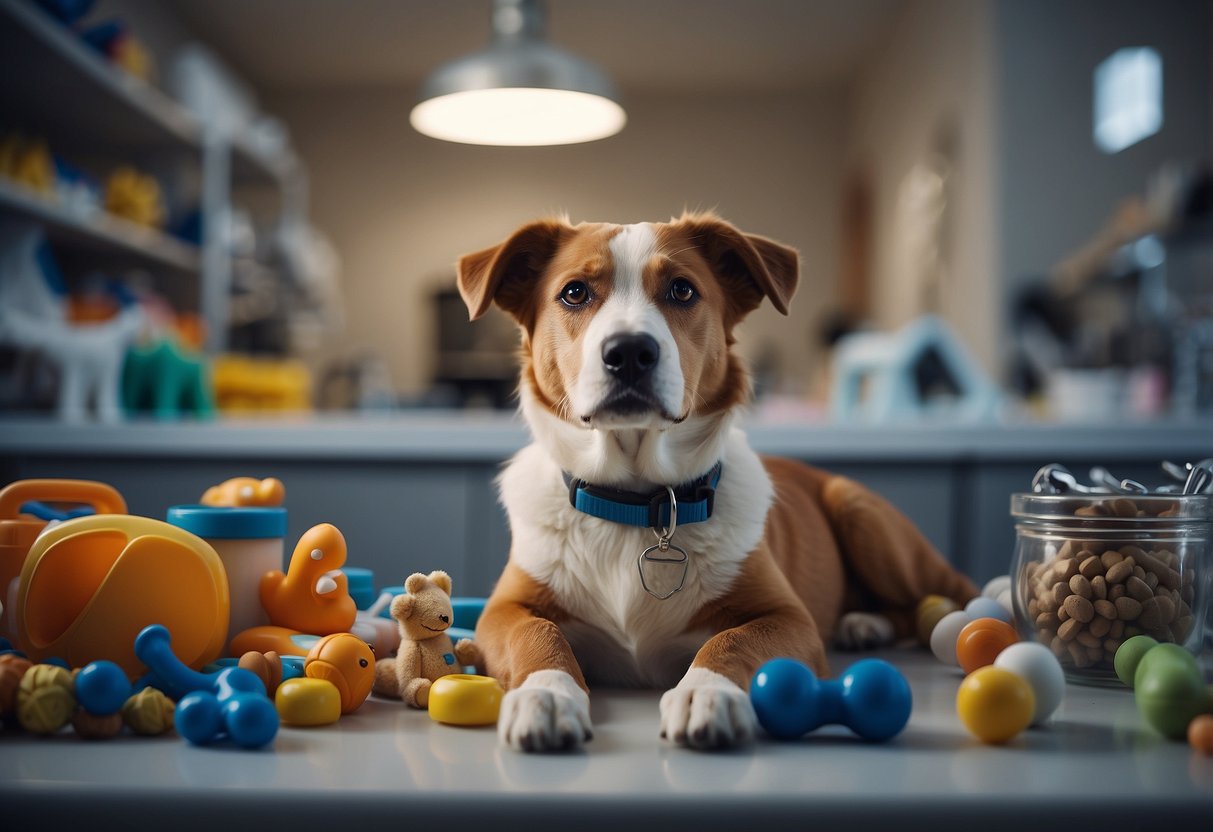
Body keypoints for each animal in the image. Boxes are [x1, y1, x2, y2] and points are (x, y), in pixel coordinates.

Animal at [456, 212, 975, 751]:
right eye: (575, 292)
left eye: (682, 290)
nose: (629, 351)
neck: (639, 502)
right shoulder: (505, 609)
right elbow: (538, 636)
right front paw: (549, 693)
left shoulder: (787, 616)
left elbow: (731, 640)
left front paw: (706, 692)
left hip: (861, 513)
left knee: (945, 593)